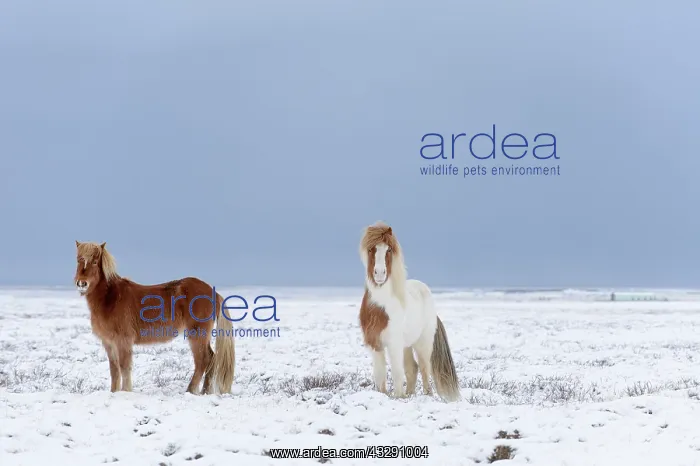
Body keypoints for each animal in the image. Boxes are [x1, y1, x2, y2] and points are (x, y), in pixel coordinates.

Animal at [73, 241, 235, 395]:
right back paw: (205, 392)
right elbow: (114, 369)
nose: (82, 283)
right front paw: (114, 392)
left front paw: (125, 392)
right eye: (78, 259)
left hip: (197, 334)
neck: (110, 299)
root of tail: (212, 292)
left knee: (203, 360)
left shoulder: (123, 341)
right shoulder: (109, 343)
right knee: (211, 359)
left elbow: (124, 367)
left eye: (95, 262)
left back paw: (190, 390)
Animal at [358, 222, 461, 402]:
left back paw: (427, 394)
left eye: (389, 250)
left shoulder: (394, 344)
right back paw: (410, 393)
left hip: (423, 343)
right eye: (371, 249)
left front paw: (398, 396)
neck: (381, 307)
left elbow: (397, 373)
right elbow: (380, 374)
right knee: (412, 368)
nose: (379, 274)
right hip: (407, 344)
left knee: (425, 368)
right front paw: (384, 395)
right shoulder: (375, 344)